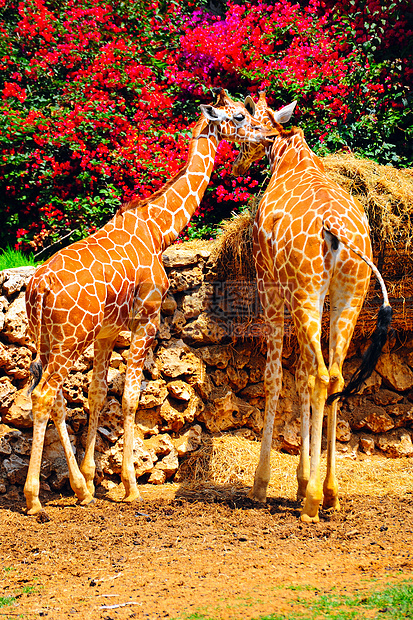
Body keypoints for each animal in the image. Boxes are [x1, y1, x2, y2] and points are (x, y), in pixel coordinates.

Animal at [21, 87, 274, 512]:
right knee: (42, 397)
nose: (265, 135)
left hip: (46, 340)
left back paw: (78, 489)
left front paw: (92, 481)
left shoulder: (107, 333)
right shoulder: (147, 319)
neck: (158, 230)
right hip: (69, 339)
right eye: (240, 116)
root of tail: (36, 288)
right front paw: (130, 485)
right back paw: (33, 499)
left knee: (55, 399)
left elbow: (97, 395)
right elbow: (130, 397)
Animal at [232, 89, 390, 520]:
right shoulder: (306, 294)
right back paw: (330, 492)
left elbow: (276, 377)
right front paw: (303, 481)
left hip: (308, 292)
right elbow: (301, 374)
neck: (290, 155)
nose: (236, 159)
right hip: (348, 294)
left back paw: (313, 502)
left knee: (321, 376)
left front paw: (264, 484)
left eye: (241, 119)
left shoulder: (269, 282)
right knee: (334, 376)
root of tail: (336, 231)